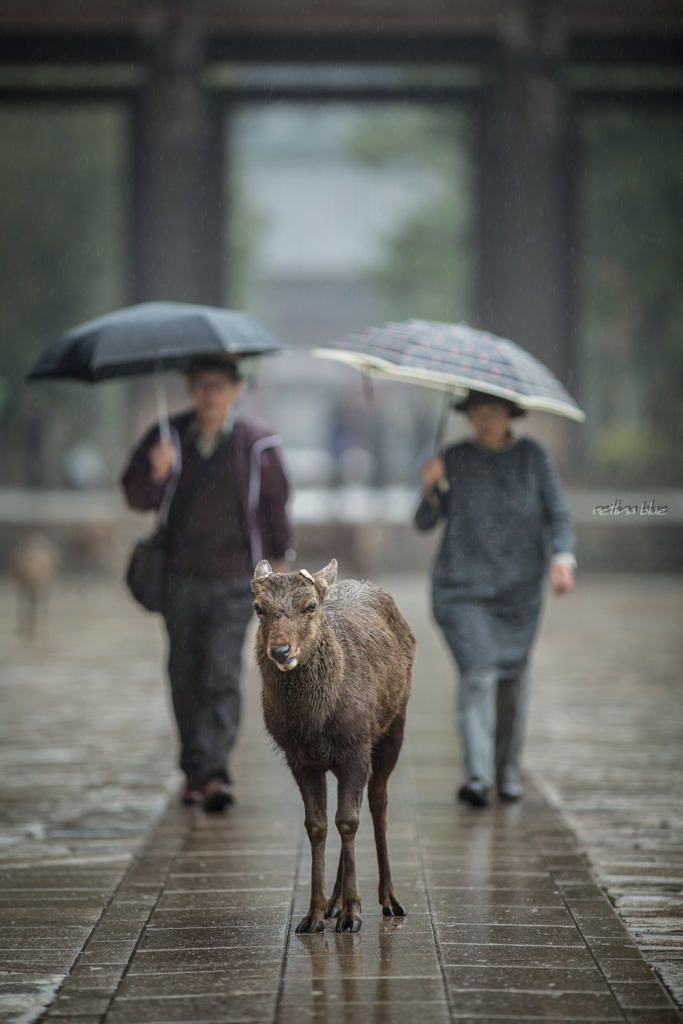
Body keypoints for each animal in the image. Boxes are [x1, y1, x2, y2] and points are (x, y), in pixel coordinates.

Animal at [250, 557, 417, 933]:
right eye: (258, 607)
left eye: (310, 605)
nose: (280, 650)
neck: (315, 722)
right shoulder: (299, 758)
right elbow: (318, 825)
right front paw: (314, 914)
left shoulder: (356, 746)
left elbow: (348, 821)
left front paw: (354, 913)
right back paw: (334, 903)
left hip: (393, 726)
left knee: (378, 803)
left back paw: (389, 899)